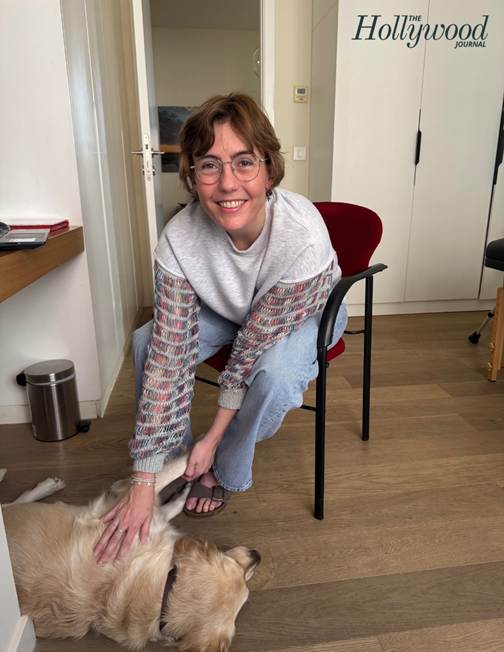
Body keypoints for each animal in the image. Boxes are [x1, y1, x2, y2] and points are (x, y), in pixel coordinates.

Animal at [2, 456, 260, 651]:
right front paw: (199, 454)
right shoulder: (126, 508)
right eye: (235, 565)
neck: (165, 591)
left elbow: (167, 499)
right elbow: (172, 471)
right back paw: (46, 485)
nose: (257, 555)